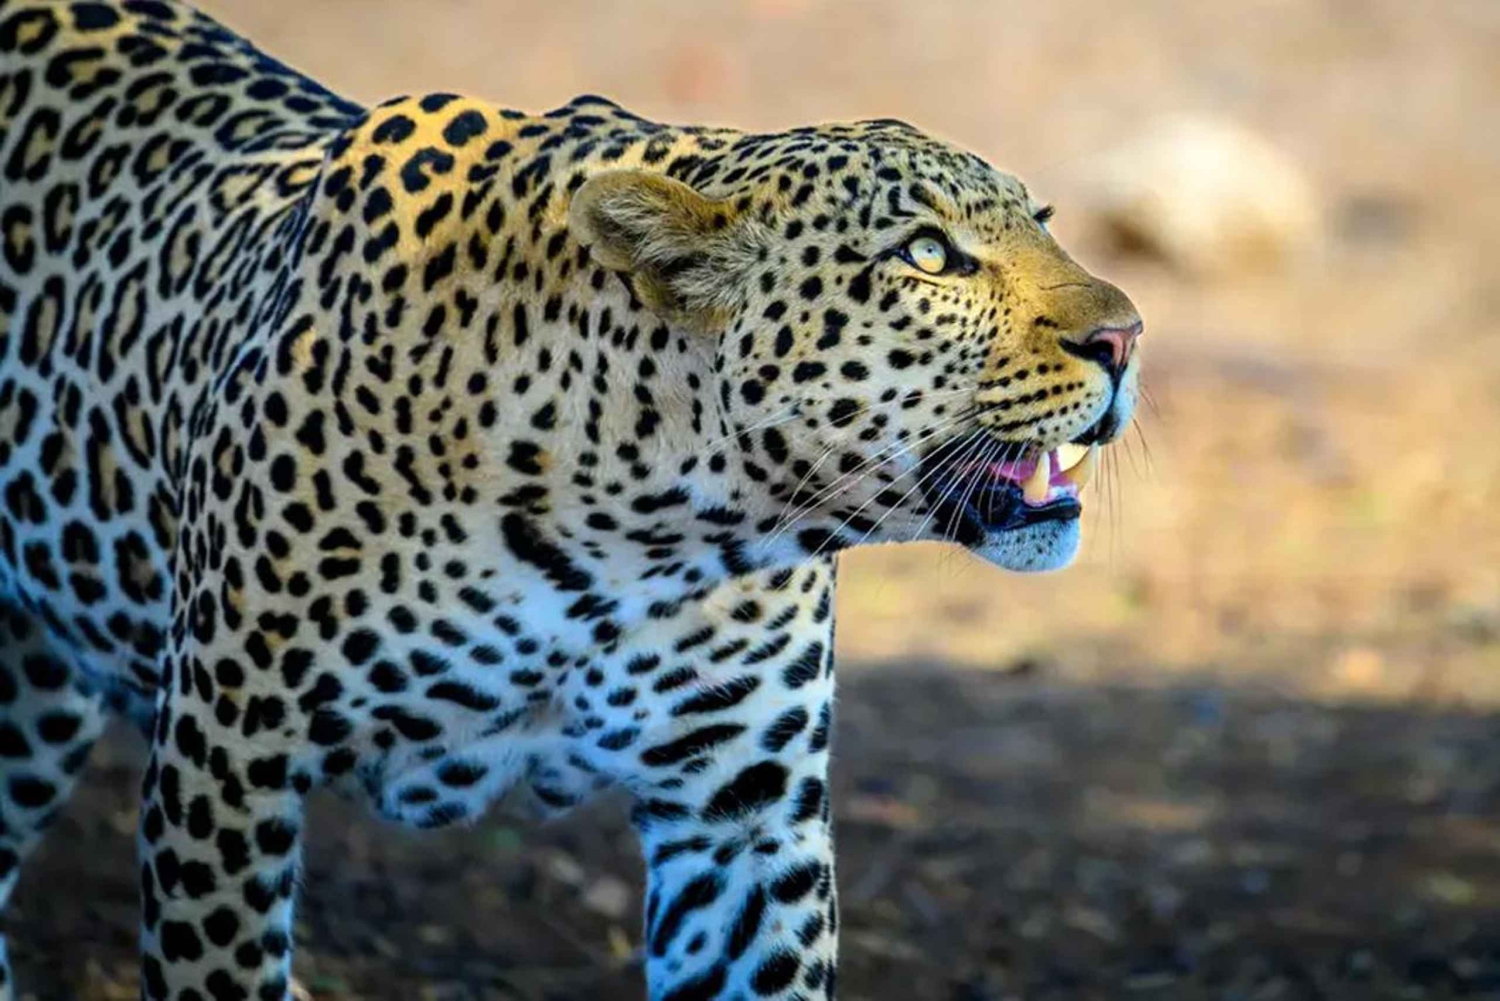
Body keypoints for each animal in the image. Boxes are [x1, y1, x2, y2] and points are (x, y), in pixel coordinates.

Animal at [0, 1, 1142, 998]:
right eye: (927, 255)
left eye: (1044, 221)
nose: (1127, 336)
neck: (650, 529)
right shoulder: (228, 757)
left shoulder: (741, 817)